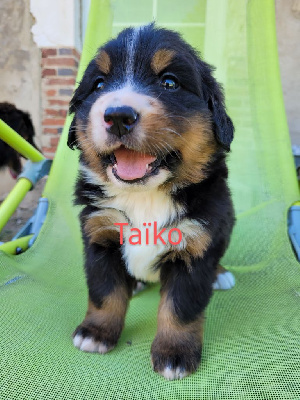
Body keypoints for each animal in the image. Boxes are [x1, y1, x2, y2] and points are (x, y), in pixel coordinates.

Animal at [68, 23, 234, 380]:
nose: (118, 115)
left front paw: (174, 354)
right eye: (98, 85)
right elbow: (104, 293)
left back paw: (221, 274)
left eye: (169, 82)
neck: (144, 196)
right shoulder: (99, 234)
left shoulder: (195, 244)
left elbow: (179, 308)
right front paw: (96, 333)